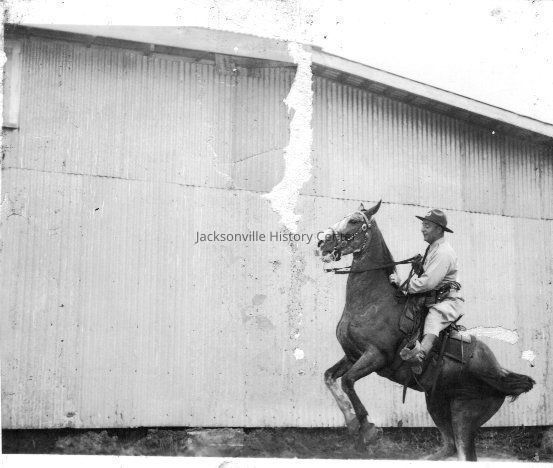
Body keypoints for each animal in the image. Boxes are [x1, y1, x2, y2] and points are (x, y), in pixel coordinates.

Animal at [317, 200, 535, 461]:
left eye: (353, 221)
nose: (322, 242)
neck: (372, 301)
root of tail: (498, 371)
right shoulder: (352, 356)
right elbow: (330, 377)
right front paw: (351, 422)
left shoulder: (375, 356)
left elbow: (348, 381)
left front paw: (368, 429)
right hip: (436, 402)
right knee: (449, 446)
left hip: (465, 415)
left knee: (462, 450)